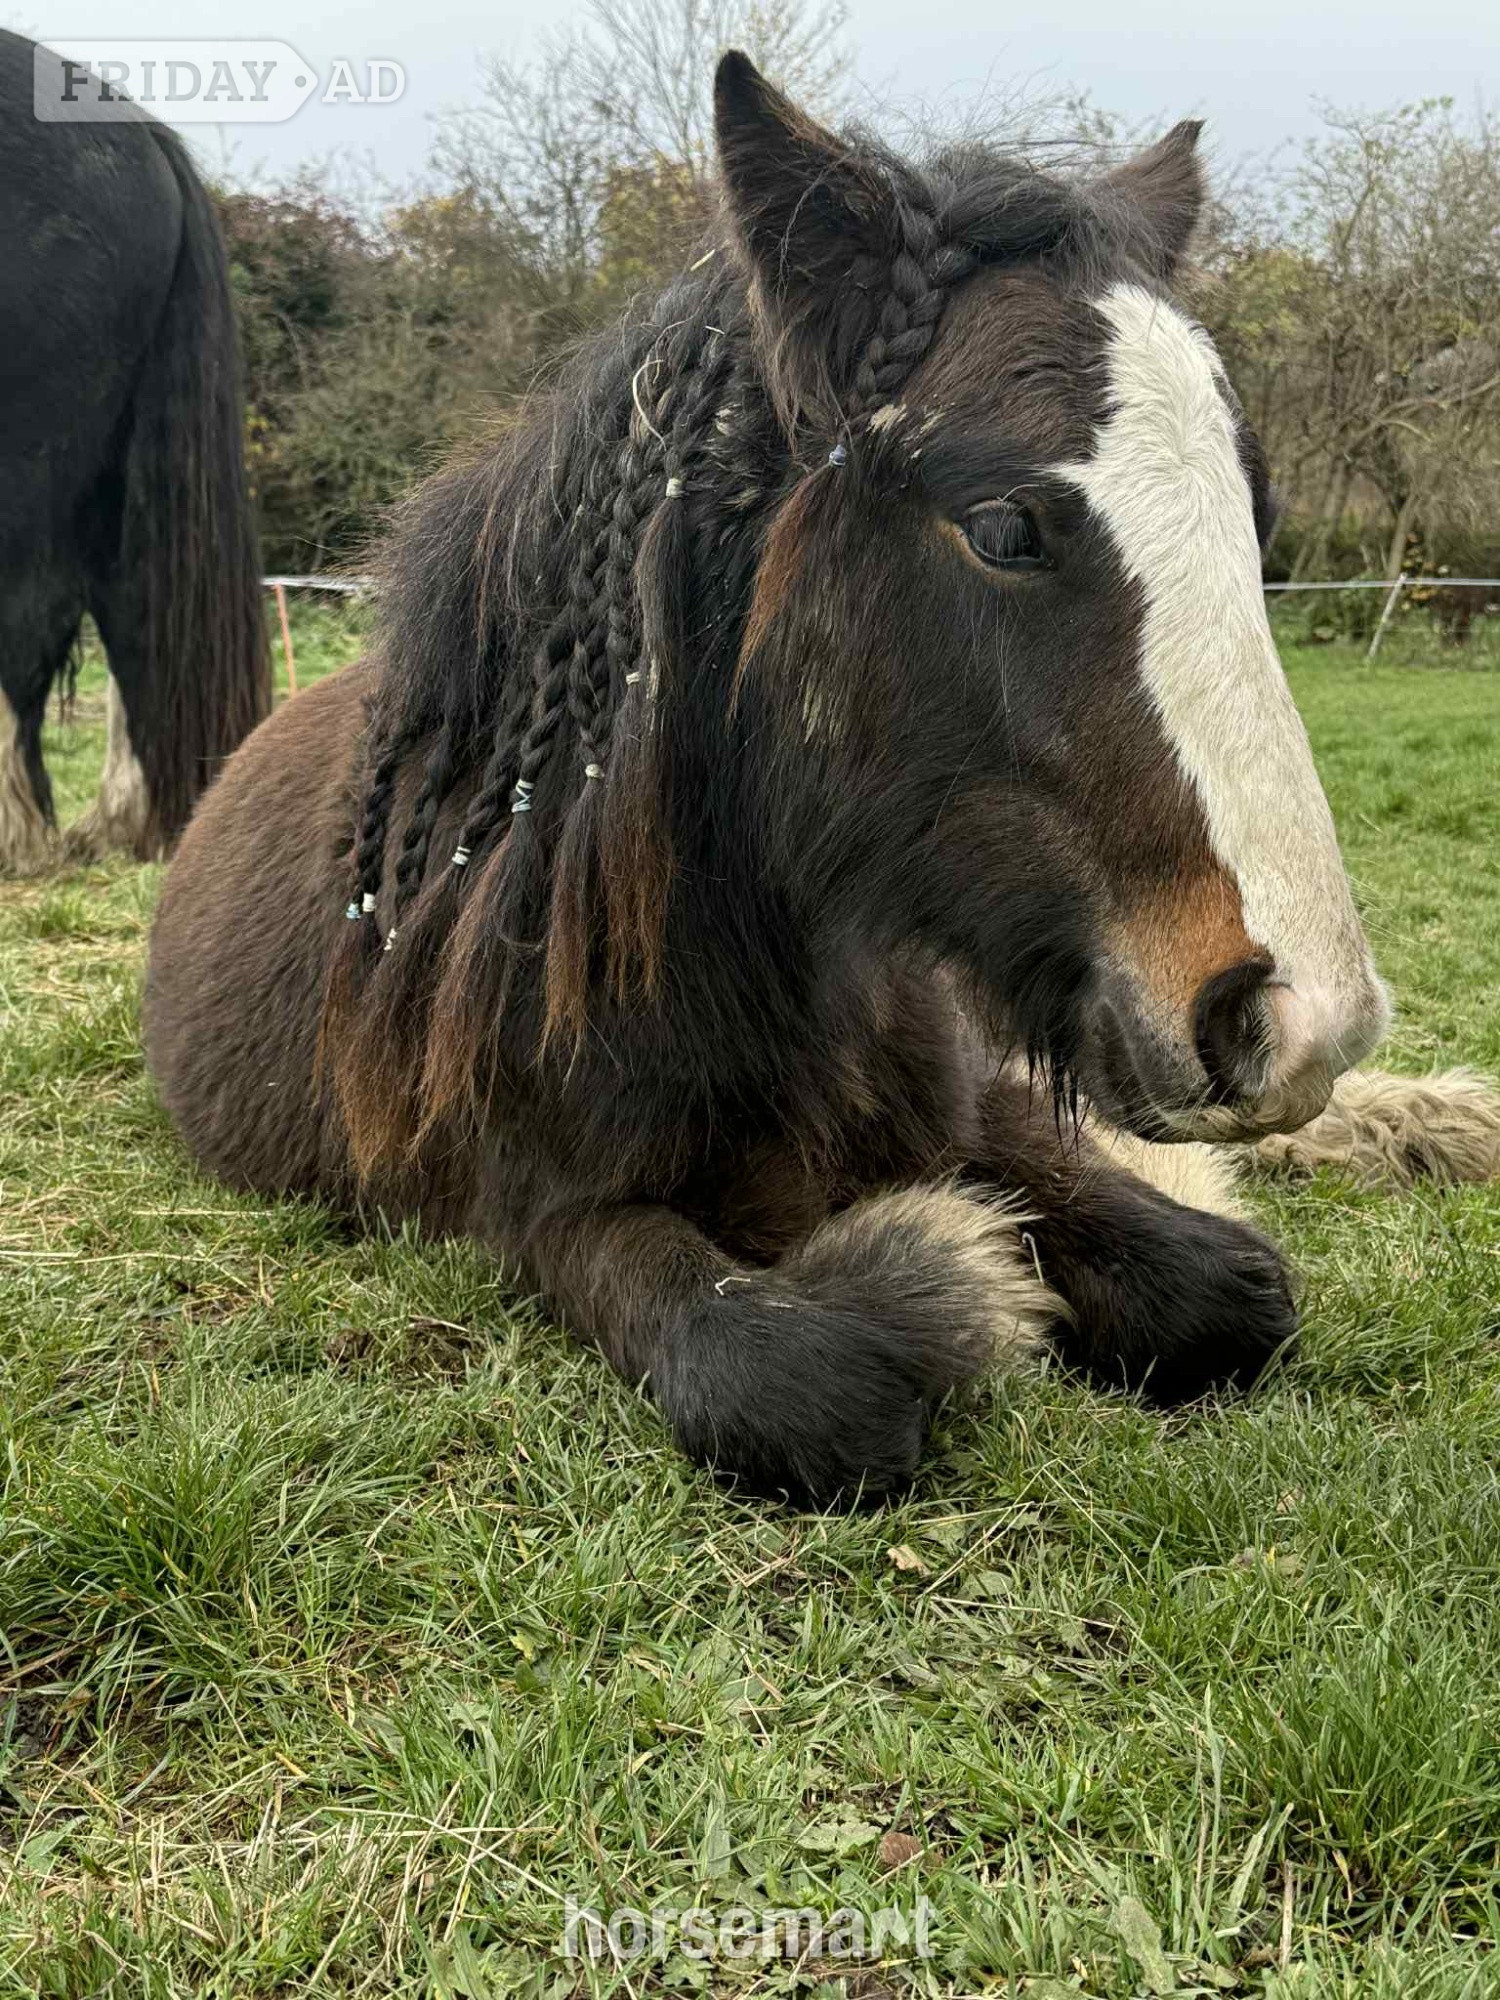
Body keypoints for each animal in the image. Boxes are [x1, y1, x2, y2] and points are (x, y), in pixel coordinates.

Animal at [145, 54, 1500, 1504]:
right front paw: (947, 1278)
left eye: (1259, 523)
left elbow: (1227, 1283)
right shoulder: (547, 1217)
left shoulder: (990, 1103)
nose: (1302, 1020)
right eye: (1003, 529)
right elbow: (800, 1379)